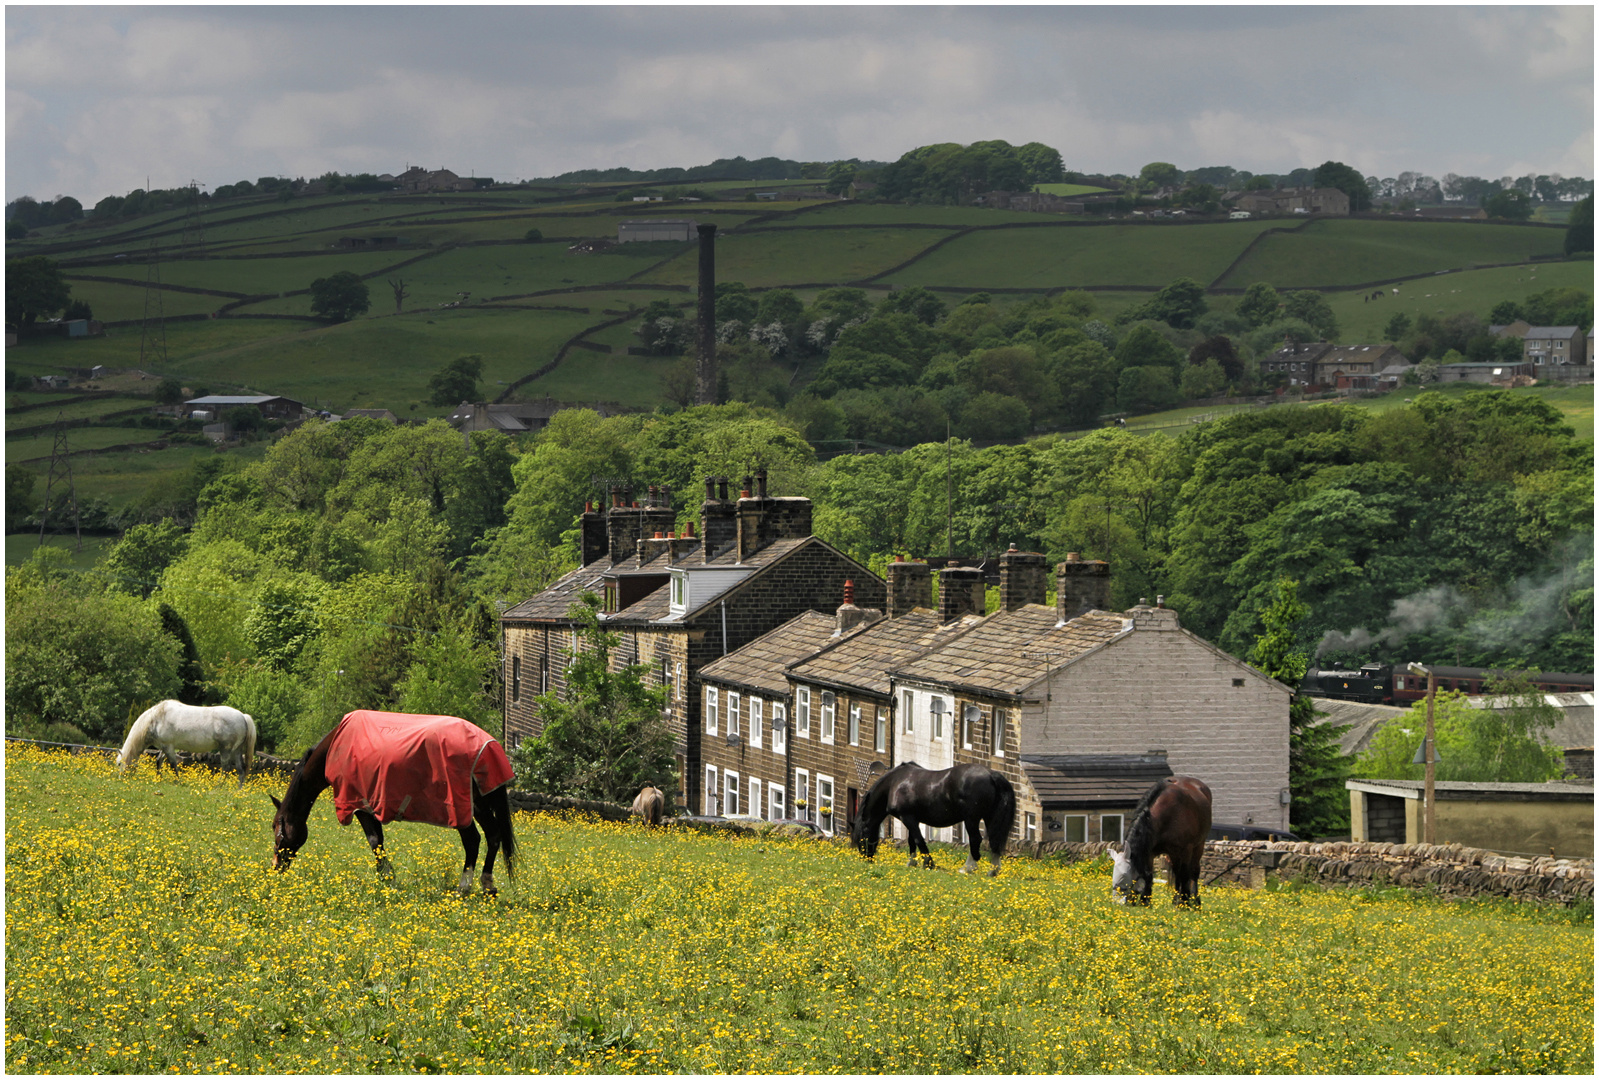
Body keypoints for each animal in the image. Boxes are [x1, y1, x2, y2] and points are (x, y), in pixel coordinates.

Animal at [115, 700, 254, 787]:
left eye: (119, 764)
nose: (121, 779)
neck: (156, 719)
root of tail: (243, 716)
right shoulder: (165, 746)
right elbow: (159, 761)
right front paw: (158, 778)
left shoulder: (168, 747)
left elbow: (172, 764)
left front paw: (177, 781)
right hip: (236, 751)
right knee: (241, 770)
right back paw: (238, 790)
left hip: (226, 750)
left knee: (226, 769)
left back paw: (217, 786)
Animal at [850, 761, 1010, 876]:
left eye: (862, 836)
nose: (866, 858)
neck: (894, 783)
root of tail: (990, 774)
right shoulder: (912, 819)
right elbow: (911, 841)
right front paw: (912, 862)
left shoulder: (907, 817)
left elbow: (918, 840)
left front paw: (928, 863)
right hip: (989, 817)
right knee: (994, 840)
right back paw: (993, 870)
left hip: (971, 819)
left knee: (975, 839)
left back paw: (968, 868)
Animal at [1112, 774, 1208, 908]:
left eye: (1124, 877)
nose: (1117, 903)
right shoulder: (1150, 852)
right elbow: (1149, 875)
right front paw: (1145, 901)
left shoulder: (1187, 849)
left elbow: (1185, 874)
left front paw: (1184, 903)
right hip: (1174, 854)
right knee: (1177, 873)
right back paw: (1176, 900)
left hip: (1198, 846)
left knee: (1193, 872)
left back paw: (1195, 902)